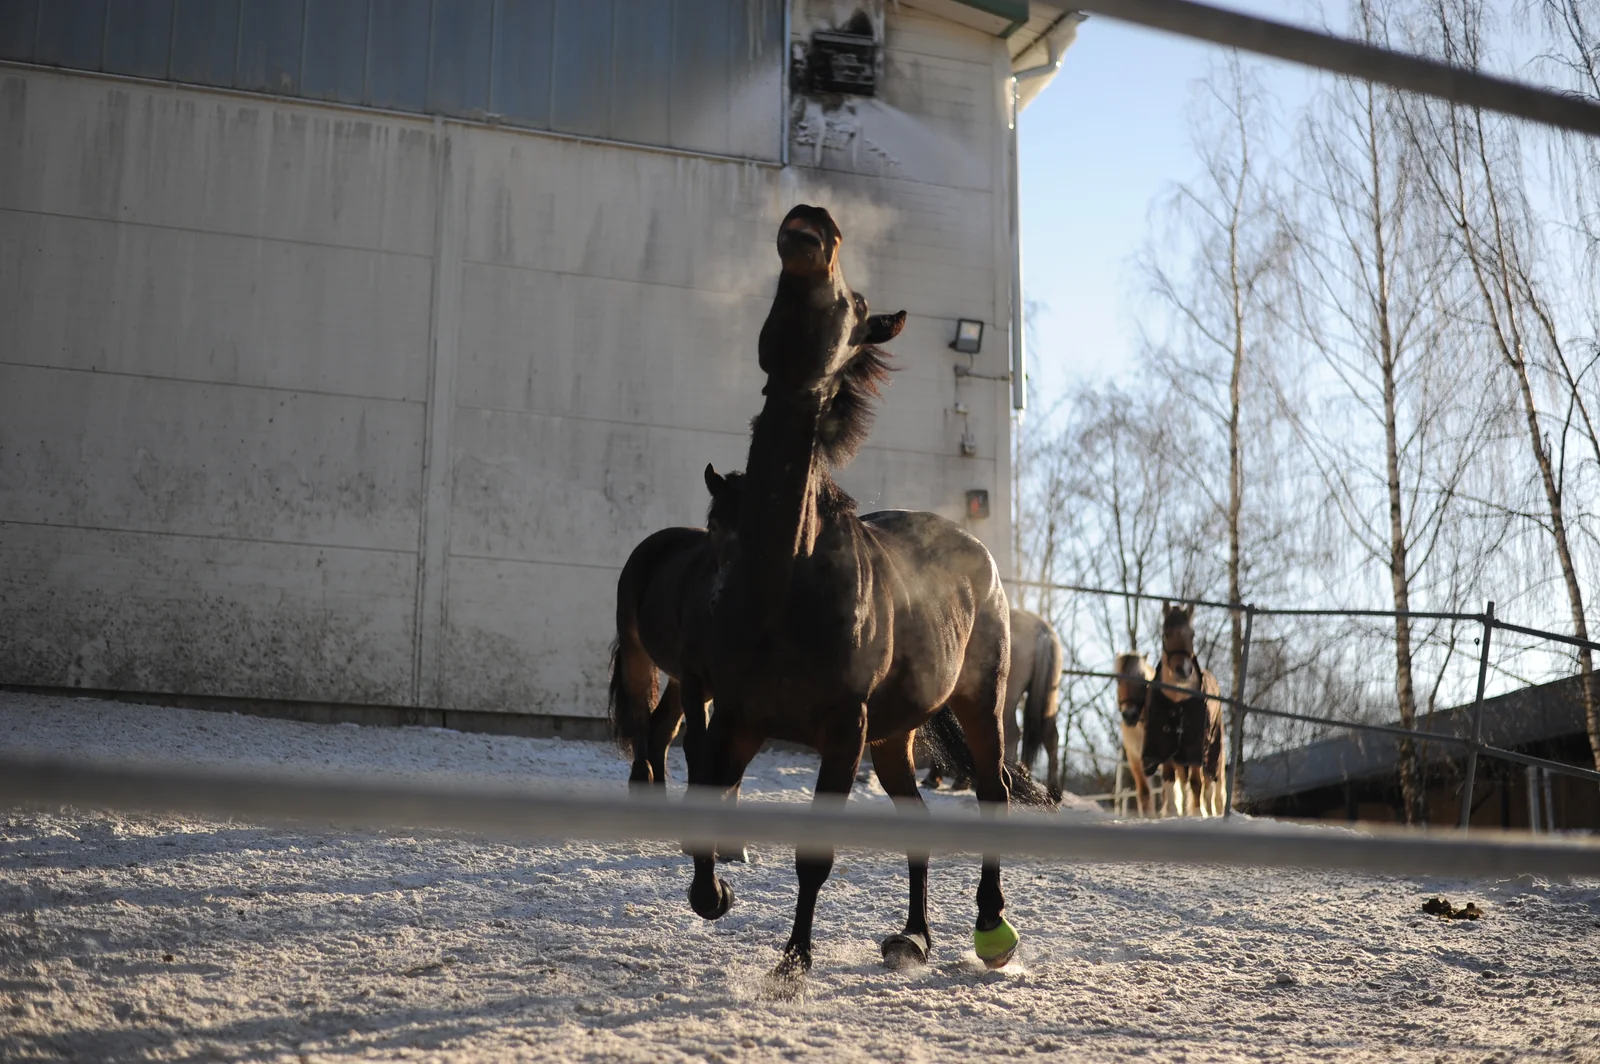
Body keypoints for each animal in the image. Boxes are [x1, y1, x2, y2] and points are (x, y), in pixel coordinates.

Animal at [687, 205, 1023, 984]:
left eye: (854, 304)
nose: (812, 222)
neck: (783, 590)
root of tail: (978, 553)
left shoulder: (842, 731)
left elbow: (815, 859)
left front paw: (793, 964)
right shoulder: (737, 717)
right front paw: (715, 893)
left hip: (979, 702)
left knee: (992, 792)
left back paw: (991, 929)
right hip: (895, 735)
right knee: (917, 817)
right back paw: (915, 937)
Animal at [1140, 603, 1227, 817]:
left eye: (1192, 634)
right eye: (1166, 633)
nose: (1183, 670)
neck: (1178, 702)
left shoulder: (1196, 745)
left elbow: (1197, 783)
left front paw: (1197, 813)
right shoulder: (1164, 745)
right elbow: (1170, 779)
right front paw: (1172, 812)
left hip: (1214, 750)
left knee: (1210, 784)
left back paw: (1211, 810)